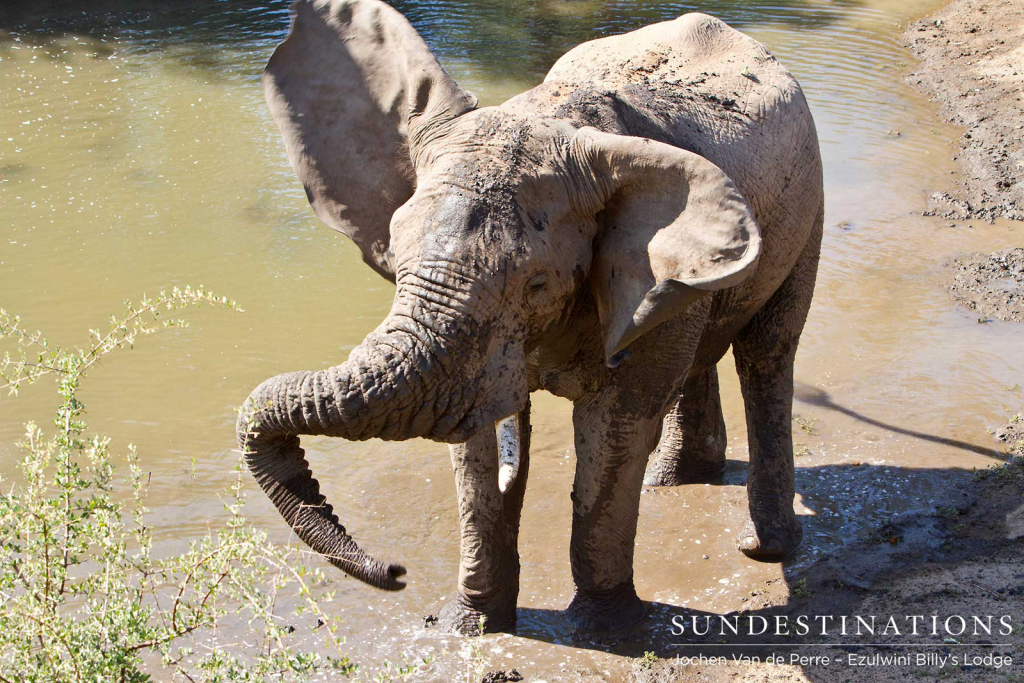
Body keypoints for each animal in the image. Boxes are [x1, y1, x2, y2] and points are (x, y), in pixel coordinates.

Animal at [239, 0, 823, 634]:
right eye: (395, 260)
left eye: (537, 284)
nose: (395, 572)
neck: (552, 111)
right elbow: (473, 441)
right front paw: (470, 625)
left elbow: (613, 428)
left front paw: (604, 629)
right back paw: (673, 479)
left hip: (808, 203)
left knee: (767, 354)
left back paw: (764, 546)